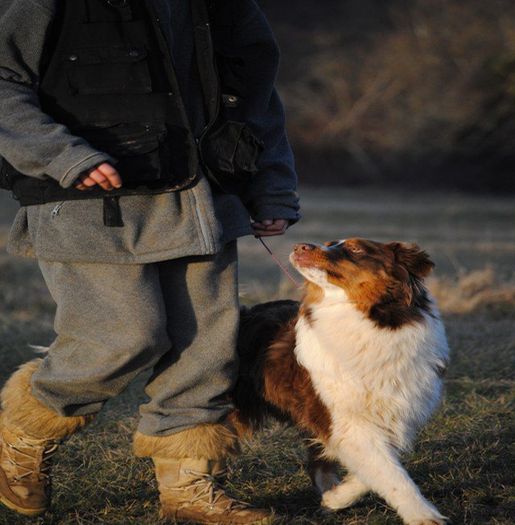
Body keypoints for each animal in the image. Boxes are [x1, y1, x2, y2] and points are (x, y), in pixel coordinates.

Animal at [232, 238, 450, 524]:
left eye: (356, 248)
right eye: (328, 243)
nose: (300, 246)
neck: (365, 320)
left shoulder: (396, 414)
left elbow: (378, 467)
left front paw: (336, 497)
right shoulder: (346, 421)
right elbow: (392, 474)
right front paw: (424, 515)